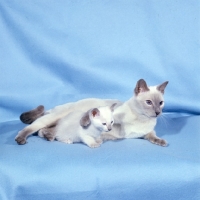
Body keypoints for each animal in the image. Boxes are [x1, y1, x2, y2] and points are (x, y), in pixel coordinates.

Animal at [15, 79, 168, 147]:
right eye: (149, 102)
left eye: (160, 103)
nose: (157, 112)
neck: (142, 119)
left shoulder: (147, 133)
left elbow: (153, 136)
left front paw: (162, 142)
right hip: (52, 118)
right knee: (32, 128)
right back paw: (21, 140)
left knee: (44, 131)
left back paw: (49, 137)